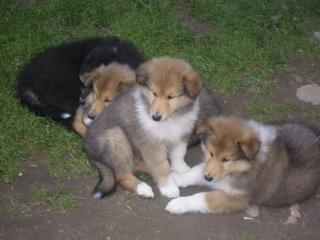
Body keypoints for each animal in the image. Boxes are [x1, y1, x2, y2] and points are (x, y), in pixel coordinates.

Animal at [84, 56, 221, 199]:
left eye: (170, 97)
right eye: (154, 93)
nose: (155, 117)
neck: (171, 118)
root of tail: (88, 149)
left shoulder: (181, 133)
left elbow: (178, 154)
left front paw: (182, 168)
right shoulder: (152, 144)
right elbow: (160, 166)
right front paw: (168, 188)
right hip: (116, 137)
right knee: (122, 175)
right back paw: (143, 188)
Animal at [165, 116, 320, 214]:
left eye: (226, 159)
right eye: (211, 153)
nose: (208, 178)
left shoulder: (238, 198)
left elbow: (203, 197)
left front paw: (177, 204)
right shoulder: (210, 169)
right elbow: (196, 171)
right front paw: (173, 179)